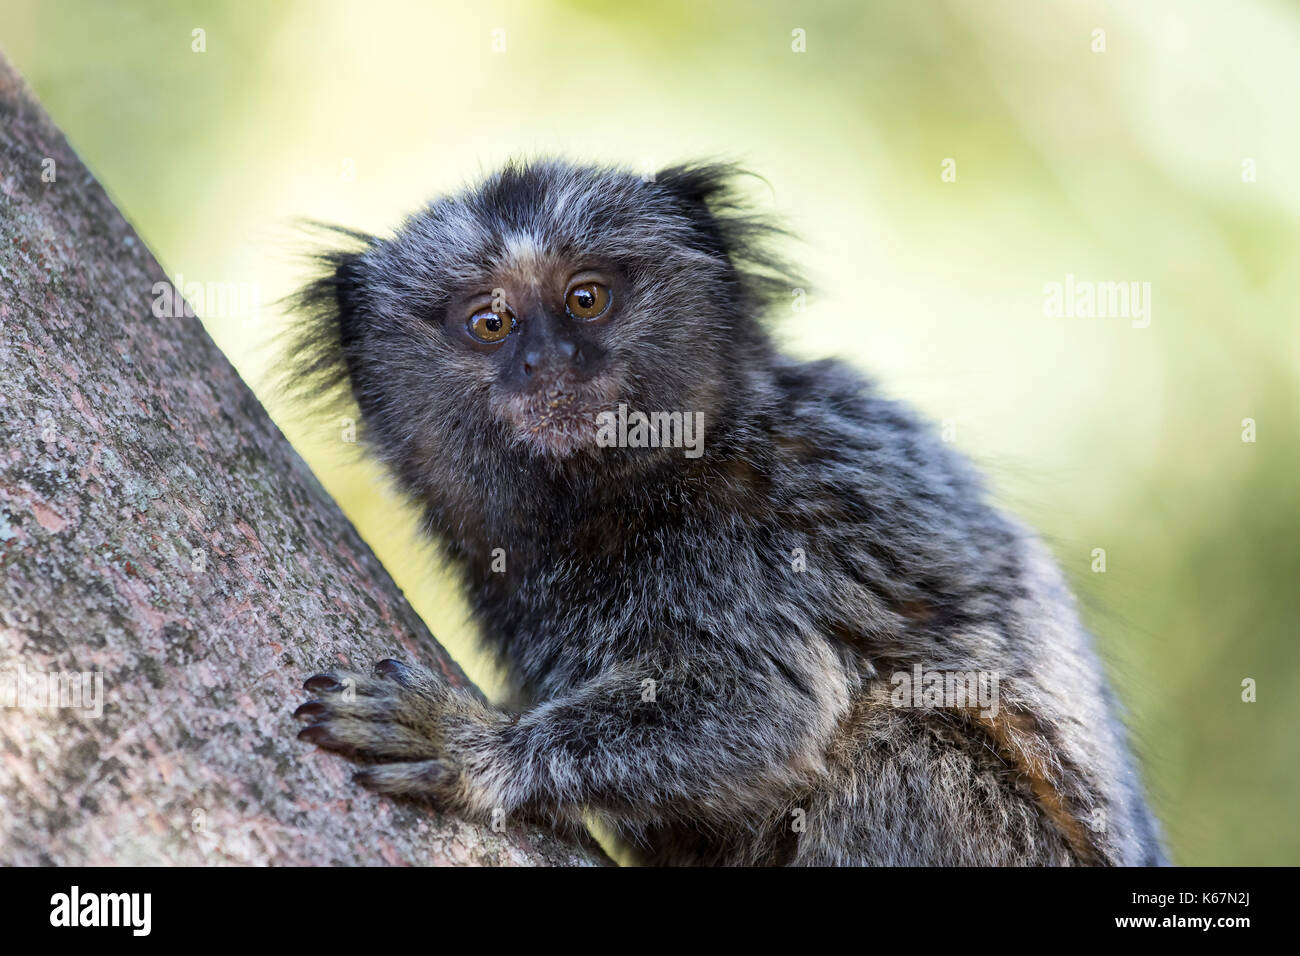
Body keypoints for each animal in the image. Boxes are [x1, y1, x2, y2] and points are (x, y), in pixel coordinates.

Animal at [289, 158, 1164, 868]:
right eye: (490, 322)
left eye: (587, 299)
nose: (549, 363)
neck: (619, 499)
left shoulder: (741, 544)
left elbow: (765, 705)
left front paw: (481, 752)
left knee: (904, 745)